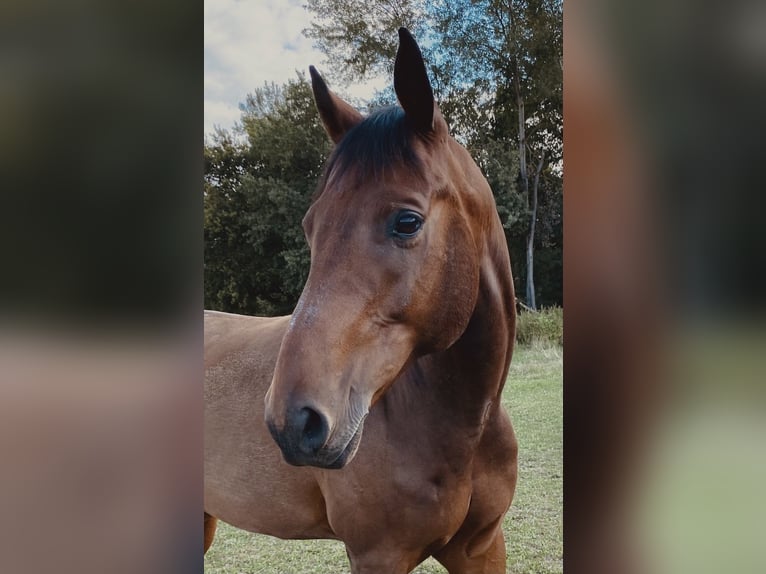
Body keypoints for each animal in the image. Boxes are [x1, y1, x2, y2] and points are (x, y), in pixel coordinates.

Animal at [204, 28, 520, 574]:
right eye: (311, 226)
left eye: (407, 221)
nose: (293, 423)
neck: (463, 428)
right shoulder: (377, 556)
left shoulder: (482, 548)